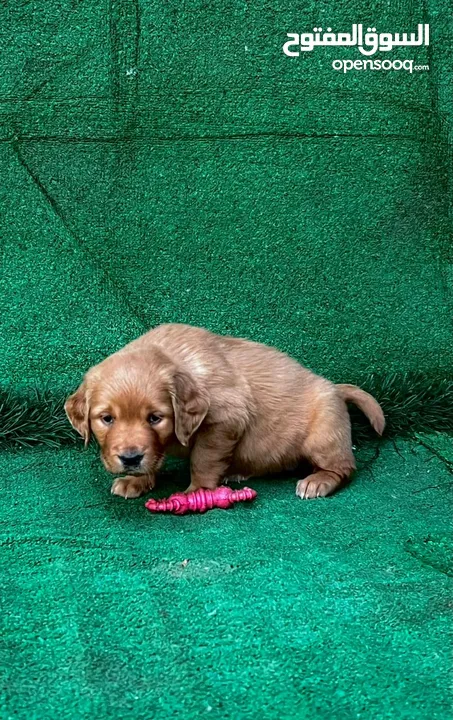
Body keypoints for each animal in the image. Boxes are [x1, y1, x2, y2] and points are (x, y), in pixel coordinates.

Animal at [64, 326, 382, 500]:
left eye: (155, 418)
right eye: (107, 419)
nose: (130, 459)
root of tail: (335, 387)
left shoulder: (225, 419)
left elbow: (203, 459)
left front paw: (197, 492)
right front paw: (138, 480)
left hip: (324, 435)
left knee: (344, 468)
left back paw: (318, 481)